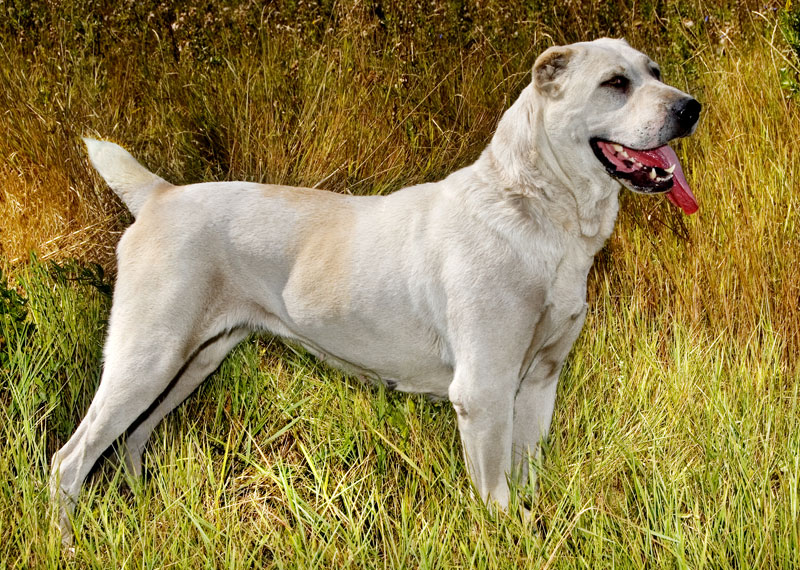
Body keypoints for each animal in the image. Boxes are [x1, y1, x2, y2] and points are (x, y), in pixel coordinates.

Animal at [50, 37, 700, 544]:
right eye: (615, 83)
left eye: (655, 71)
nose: (691, 107)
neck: (541, 212)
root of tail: (160, 195)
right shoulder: (485, 391)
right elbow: (495, 499)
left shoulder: (539, 382)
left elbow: (525, 482)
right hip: (147, 356)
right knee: (69, 460)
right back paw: (69, 543)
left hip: (193, 361)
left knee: (131, 438)